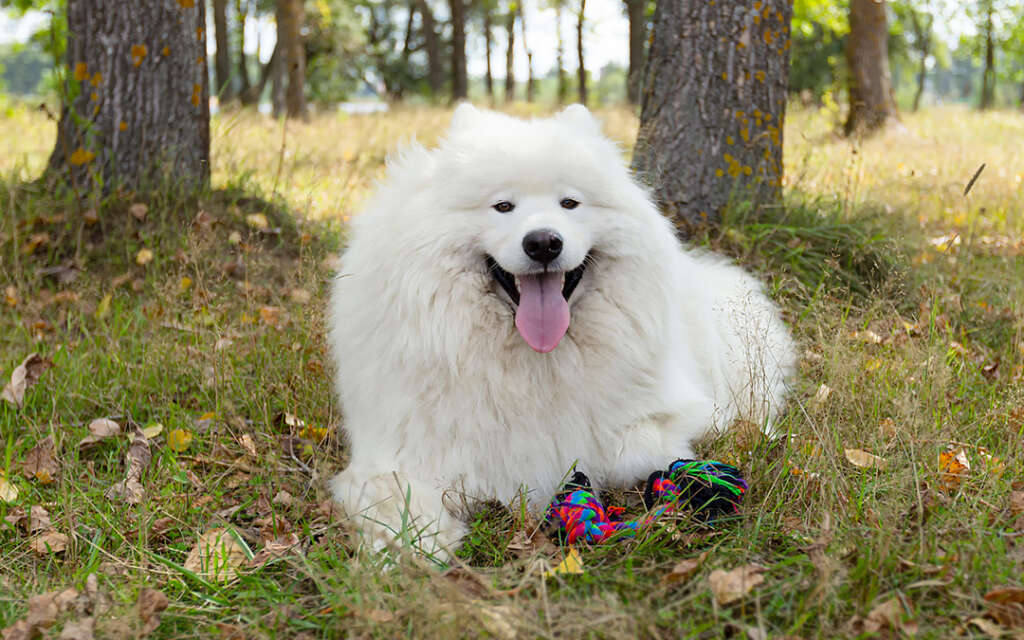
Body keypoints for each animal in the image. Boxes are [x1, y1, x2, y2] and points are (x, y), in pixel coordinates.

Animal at [331, 102, 794, 557]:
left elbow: (640, 448)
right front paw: (411, 550)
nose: (543, 243)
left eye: (570, 203)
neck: (536, 362)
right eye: (503, 207)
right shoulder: (401, 451)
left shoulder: (654, 418)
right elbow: (396, 501)